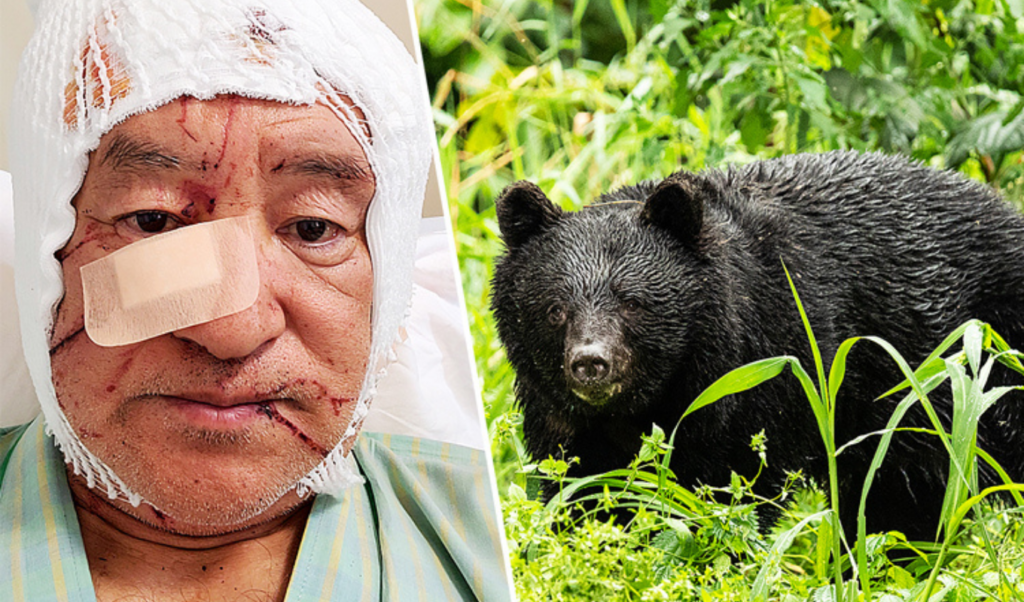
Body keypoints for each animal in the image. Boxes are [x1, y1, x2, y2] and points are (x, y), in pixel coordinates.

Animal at [490, 151, 1024, 541]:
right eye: (555, 308)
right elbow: (584, 491)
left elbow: (732, 492)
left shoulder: (767, 375)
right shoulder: (567, 421)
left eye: (632, 303)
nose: (590, 364)